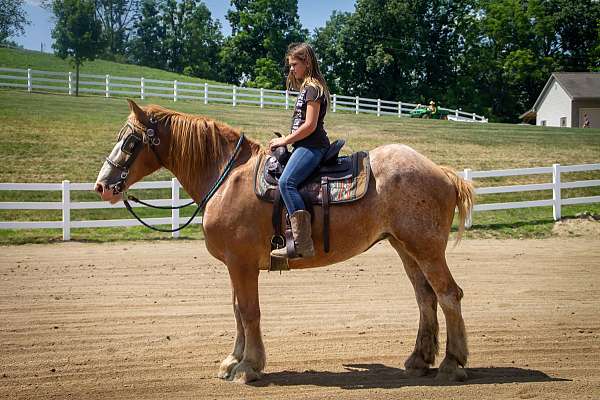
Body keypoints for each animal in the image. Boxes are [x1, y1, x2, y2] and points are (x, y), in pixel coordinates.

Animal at [95, 100, 474, 384]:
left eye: (130, 142)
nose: (102, 185)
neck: (228, 177)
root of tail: (442, 173)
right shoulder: (236, 265)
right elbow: (237, 310)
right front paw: (233, 360)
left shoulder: (243, 264)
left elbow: (249, 312)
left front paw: (249, 366)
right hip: (405, 248)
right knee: (425, 298)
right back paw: (419, 359)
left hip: (426, 250)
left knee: (448, 295)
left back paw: (452, 364)